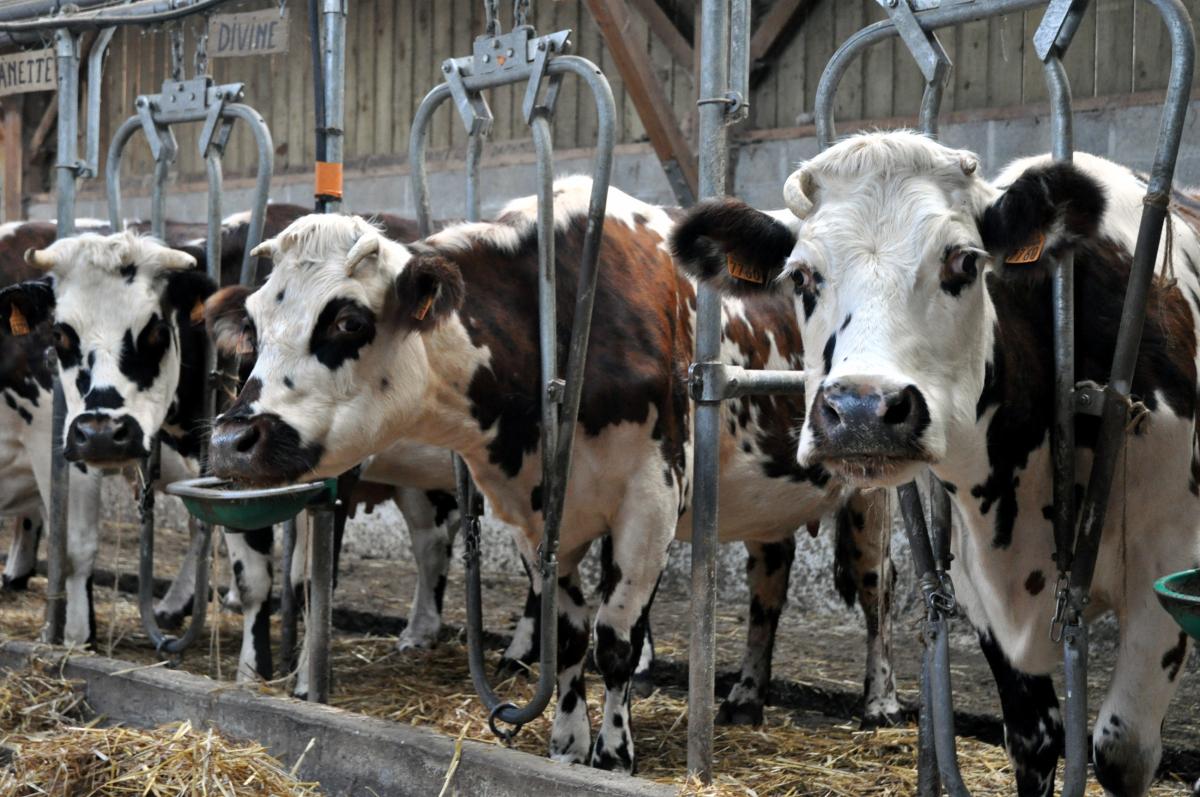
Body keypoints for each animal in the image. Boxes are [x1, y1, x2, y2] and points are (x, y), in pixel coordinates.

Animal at [204, 178, 900, 773]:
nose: (233, 440)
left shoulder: (651, 499)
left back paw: (882, 701)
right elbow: (564, 636)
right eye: (256, 324)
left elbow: (615, 636)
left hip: (873, 485)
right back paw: (747, 696)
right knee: (769, 581)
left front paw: (613, 754)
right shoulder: (536, 512)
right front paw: (567, 744)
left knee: (878, 586)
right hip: (766, 496)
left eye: (347, 320)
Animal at [670, 129, 1200, 796]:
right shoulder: (981, 589)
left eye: (964, 262)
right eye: (802, 275)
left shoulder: (1166, 571)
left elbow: (1121, 751)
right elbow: (1034, 741)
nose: (862, 409)